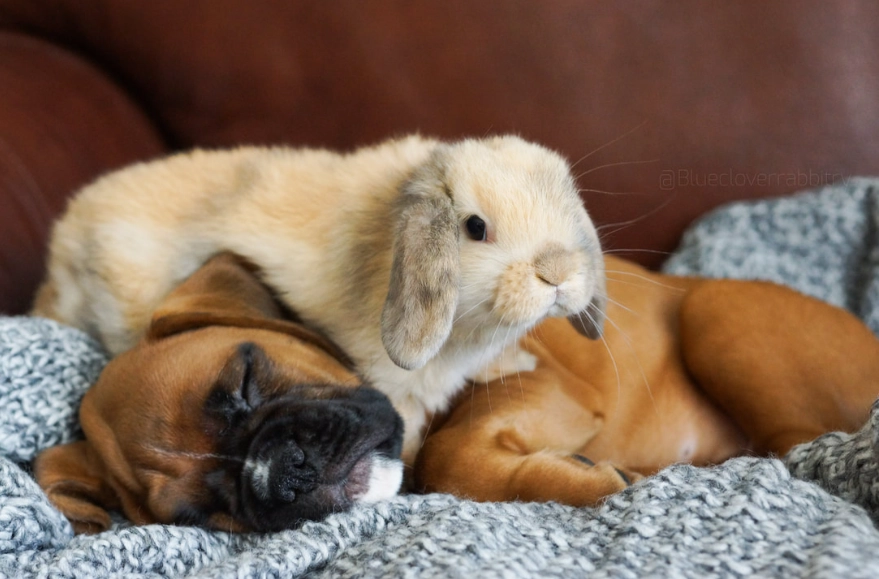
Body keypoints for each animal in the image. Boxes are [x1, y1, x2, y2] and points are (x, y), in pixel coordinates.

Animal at [33, 134, 606, 466]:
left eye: (566, 203)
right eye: (475, 227)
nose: (558, 271)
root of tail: (64, 245)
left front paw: (518, 362)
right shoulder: (394, 383)